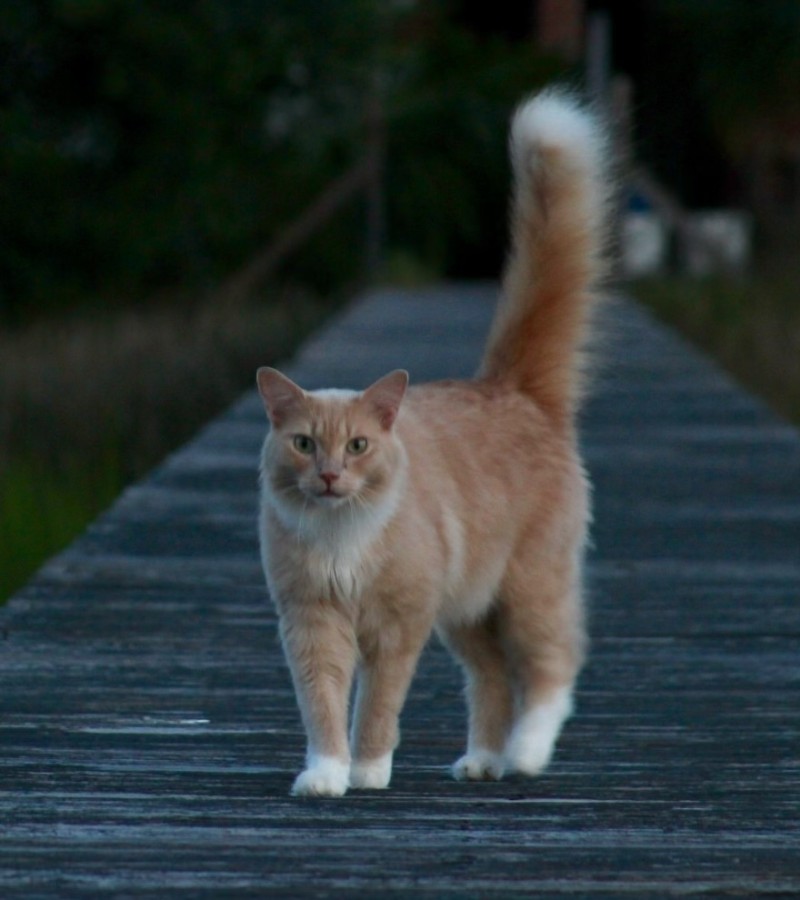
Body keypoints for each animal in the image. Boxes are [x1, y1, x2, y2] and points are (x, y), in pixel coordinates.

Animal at [256, 88, 612, 800]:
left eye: (357, 446)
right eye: (305, 444)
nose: (330, 476)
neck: (342, 537)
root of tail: (510, 387)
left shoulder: (398, 626)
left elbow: (377, 706)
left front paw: (367, 769)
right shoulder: (312, 622)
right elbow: (323, 704)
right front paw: (326, 773)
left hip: (526, 589)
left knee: (553, 667)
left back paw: (527, 752)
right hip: (468, 614)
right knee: (494, 677)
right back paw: (483, 760)